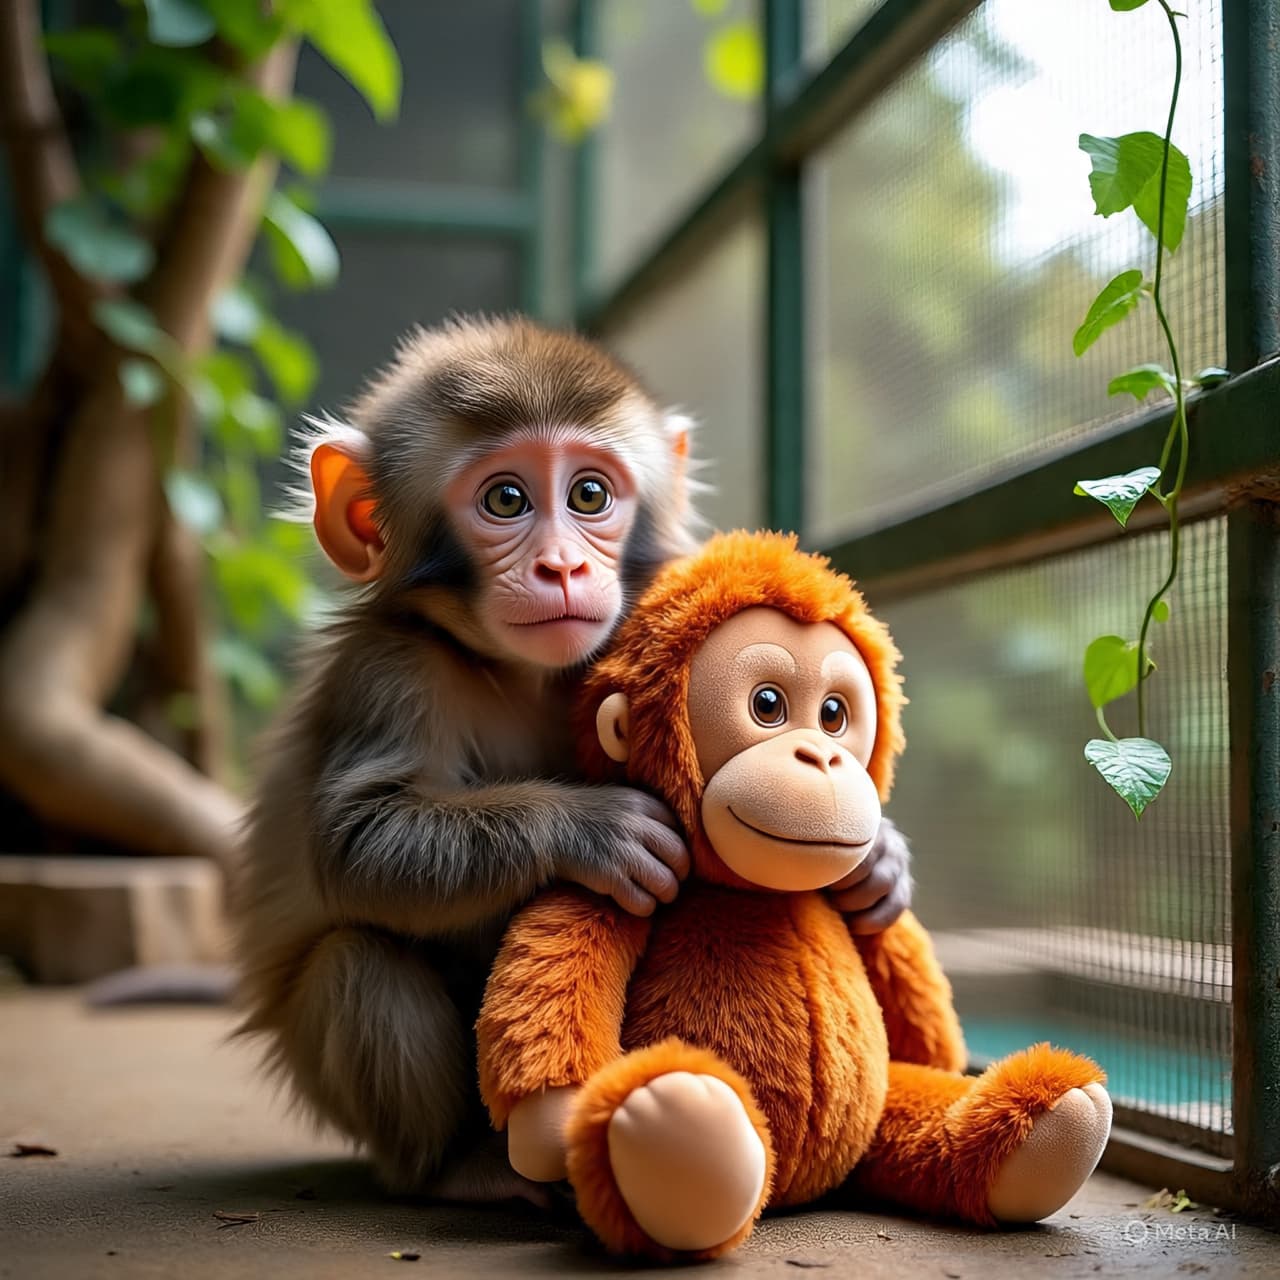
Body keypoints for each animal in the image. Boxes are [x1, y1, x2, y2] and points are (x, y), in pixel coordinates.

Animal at [231, 314, 916, 1201]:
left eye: (590, 495)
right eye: (506, 499)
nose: (563, 565)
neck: (516, 671)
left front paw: (882, 861)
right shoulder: (389, 670)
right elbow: (357, 842)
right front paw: (597, 831)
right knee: (360, 964)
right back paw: (460, 1171)